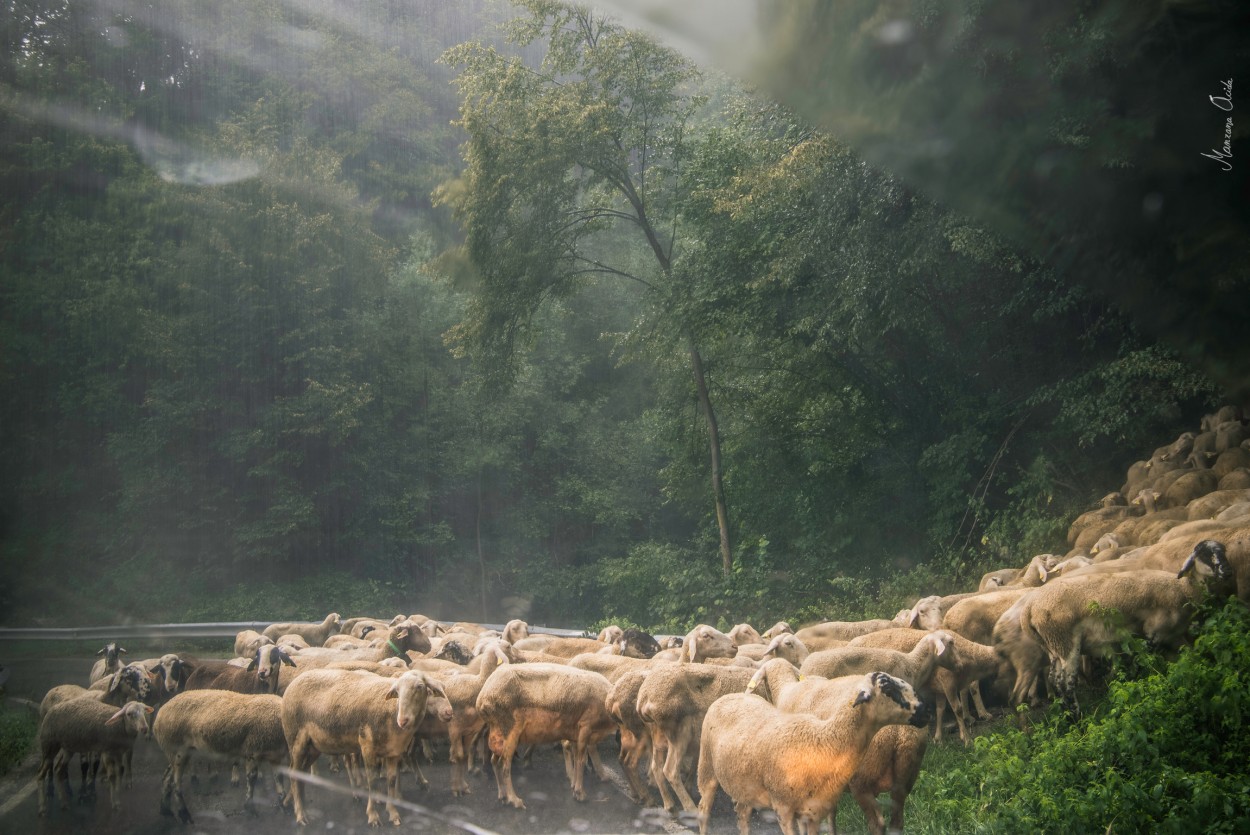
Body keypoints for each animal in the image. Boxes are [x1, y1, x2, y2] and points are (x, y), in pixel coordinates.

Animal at [152, 690, 286, 820]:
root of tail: (157, 719)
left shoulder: (276, 756)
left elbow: (279, 778)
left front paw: (283, 805)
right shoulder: (252, 751)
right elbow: (252, 779)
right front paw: (250, 809)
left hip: (175, 752)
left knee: (166, 779)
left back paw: (165, 809)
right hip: (178, 749)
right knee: (176, 784)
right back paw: (183, 813)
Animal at [281, 670, 447, 825]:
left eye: (419, 686)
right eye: (397, 691)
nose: (403, 720)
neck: (391, 711)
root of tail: (294, 682)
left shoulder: (393, 752)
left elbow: (391, 780)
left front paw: (393, 813)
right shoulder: (367, 746)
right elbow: (372, 780)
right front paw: (373, 816)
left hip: (313, 747)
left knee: (300, 774)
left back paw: (297, 805)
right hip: (295, 740)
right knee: (293, 774)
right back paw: (300, 815)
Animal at [472, 660, 615, 810]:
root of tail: (482, 697)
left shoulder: (577, 733)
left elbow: (577, 758)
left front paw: (575, 785)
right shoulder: (585, 727)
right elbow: (581, 760)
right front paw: (580, 793)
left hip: (499, 734)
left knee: (494, 761)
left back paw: (503, 796)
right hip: (510, 730)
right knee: (503, 765)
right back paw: (515, 800)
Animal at [635, 660, 750, 810]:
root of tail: (645, 697)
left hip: (658, 735)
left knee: (656, 767)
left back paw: (669, 804)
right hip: (679, 735)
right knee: (670, 771)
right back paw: (689, 807)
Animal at [695, 670, 930, 835]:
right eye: (888, 688)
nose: (926, 712)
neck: (823, 739)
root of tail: (730, 696)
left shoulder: (813, 811)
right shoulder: (783, 809)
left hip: (744, 784)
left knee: (742, 814)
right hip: (706, 767)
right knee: (703, 809)